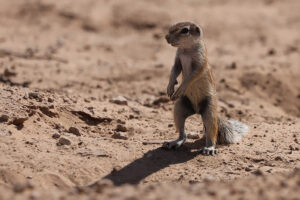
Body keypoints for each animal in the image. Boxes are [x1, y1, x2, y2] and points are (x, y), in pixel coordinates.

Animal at [164, 22, 248, 156]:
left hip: (209, 112)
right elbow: (174, 70)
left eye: (185, 30)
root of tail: (198, 111)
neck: (186, 50)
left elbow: (191, 77)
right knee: (183, 134)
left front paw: (180, 88)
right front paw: (170, 87)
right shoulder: (177, 60)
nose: (166, 37)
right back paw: (174, 142)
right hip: (180, 108)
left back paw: (209, 148)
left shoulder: (200, 62)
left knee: (211, 133)